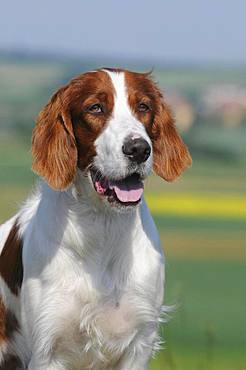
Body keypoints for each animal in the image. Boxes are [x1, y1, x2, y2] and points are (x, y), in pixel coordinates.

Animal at [0, 68, 191, 368]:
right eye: (96, 108)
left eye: (143, 106)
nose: (139, 149)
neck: (102, 227)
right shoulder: (48, 349)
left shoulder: (138, 343)